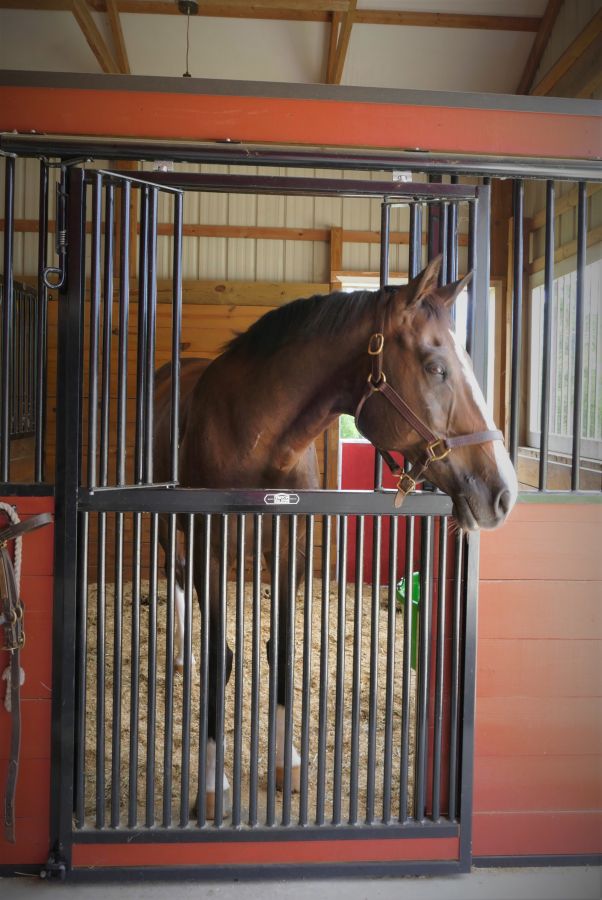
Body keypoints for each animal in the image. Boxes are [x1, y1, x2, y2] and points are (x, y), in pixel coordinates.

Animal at [154, 256, 516, 820]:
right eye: (436, 368)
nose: (503, 492)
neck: (254, 439)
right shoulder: (210, 549)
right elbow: (218, 659)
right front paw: (213, 788)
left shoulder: (288, 552)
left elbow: (279, 649)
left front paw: (288, 763)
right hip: (170, 527)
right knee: (174, 575)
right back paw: (180, 653)